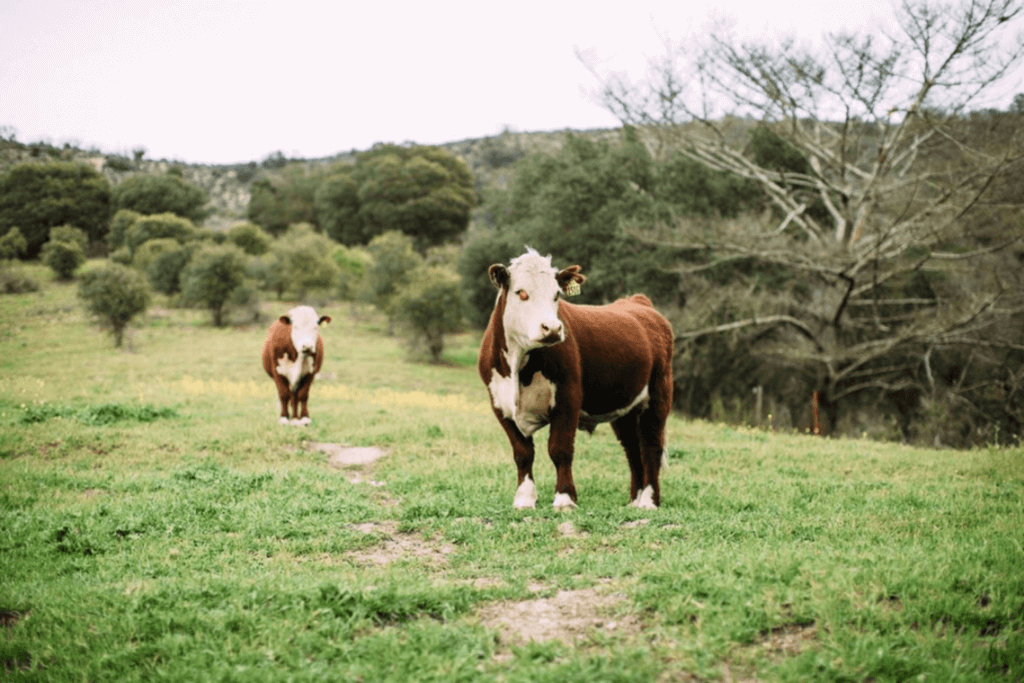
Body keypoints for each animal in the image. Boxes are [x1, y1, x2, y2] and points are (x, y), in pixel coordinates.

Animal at [477, 248, 675, 509]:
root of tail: (637, 301)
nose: (552, 328)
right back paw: (635, 499)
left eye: (556, 295)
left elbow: (559, 449)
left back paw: (649, 501)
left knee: (651, 446)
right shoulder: (499, 402)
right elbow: (522, 452)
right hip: (625, 407)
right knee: (633, 449)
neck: (518, 366)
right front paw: (524, 498)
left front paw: (564, 499)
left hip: (658, 394)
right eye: (521, 293)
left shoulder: (568, 397)